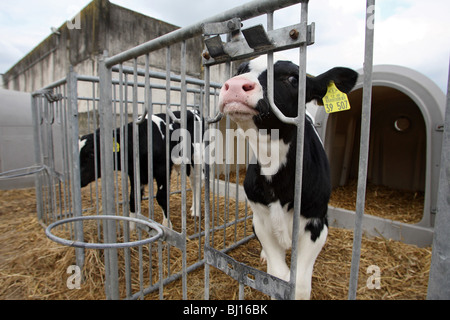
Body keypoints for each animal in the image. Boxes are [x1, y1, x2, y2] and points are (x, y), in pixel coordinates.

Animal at [217, 56, 356, 298]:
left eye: (292, 78)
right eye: (240, 70)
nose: (234, 85)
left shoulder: (317, 223)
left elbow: (299, 285)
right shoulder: (260, 219)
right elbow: (276, 277)